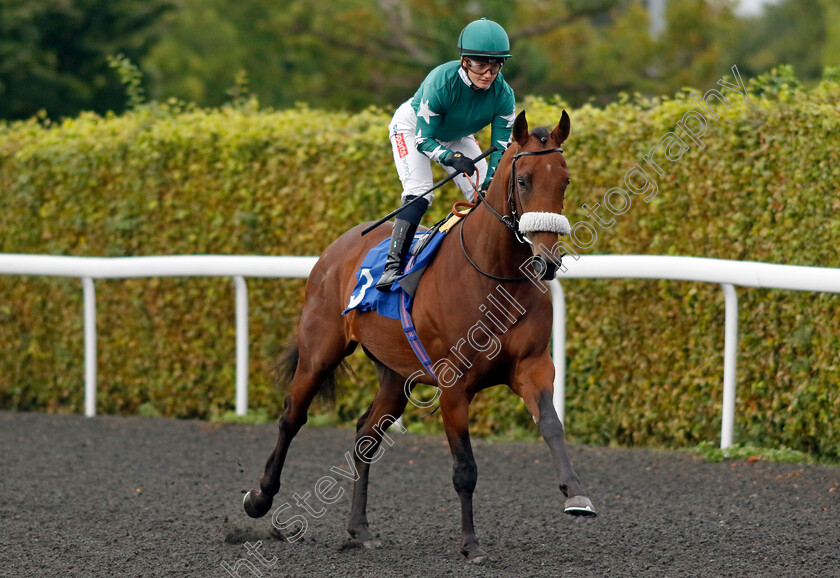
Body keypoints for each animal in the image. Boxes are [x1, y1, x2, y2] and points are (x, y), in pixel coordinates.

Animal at [243, 110, 596, 560]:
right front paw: (470, 544)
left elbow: (551, 424)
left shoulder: (533, 365)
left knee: (366, 435)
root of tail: (337, 247)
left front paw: (577, 494)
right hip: (320, 350)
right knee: (292, 416)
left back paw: (360, 528)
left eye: (564, 180)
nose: (547, 261)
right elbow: (465, 468)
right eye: (523, 180)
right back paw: (259, 499)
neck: (493, 275)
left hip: (396, 375)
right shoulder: (453, 384)